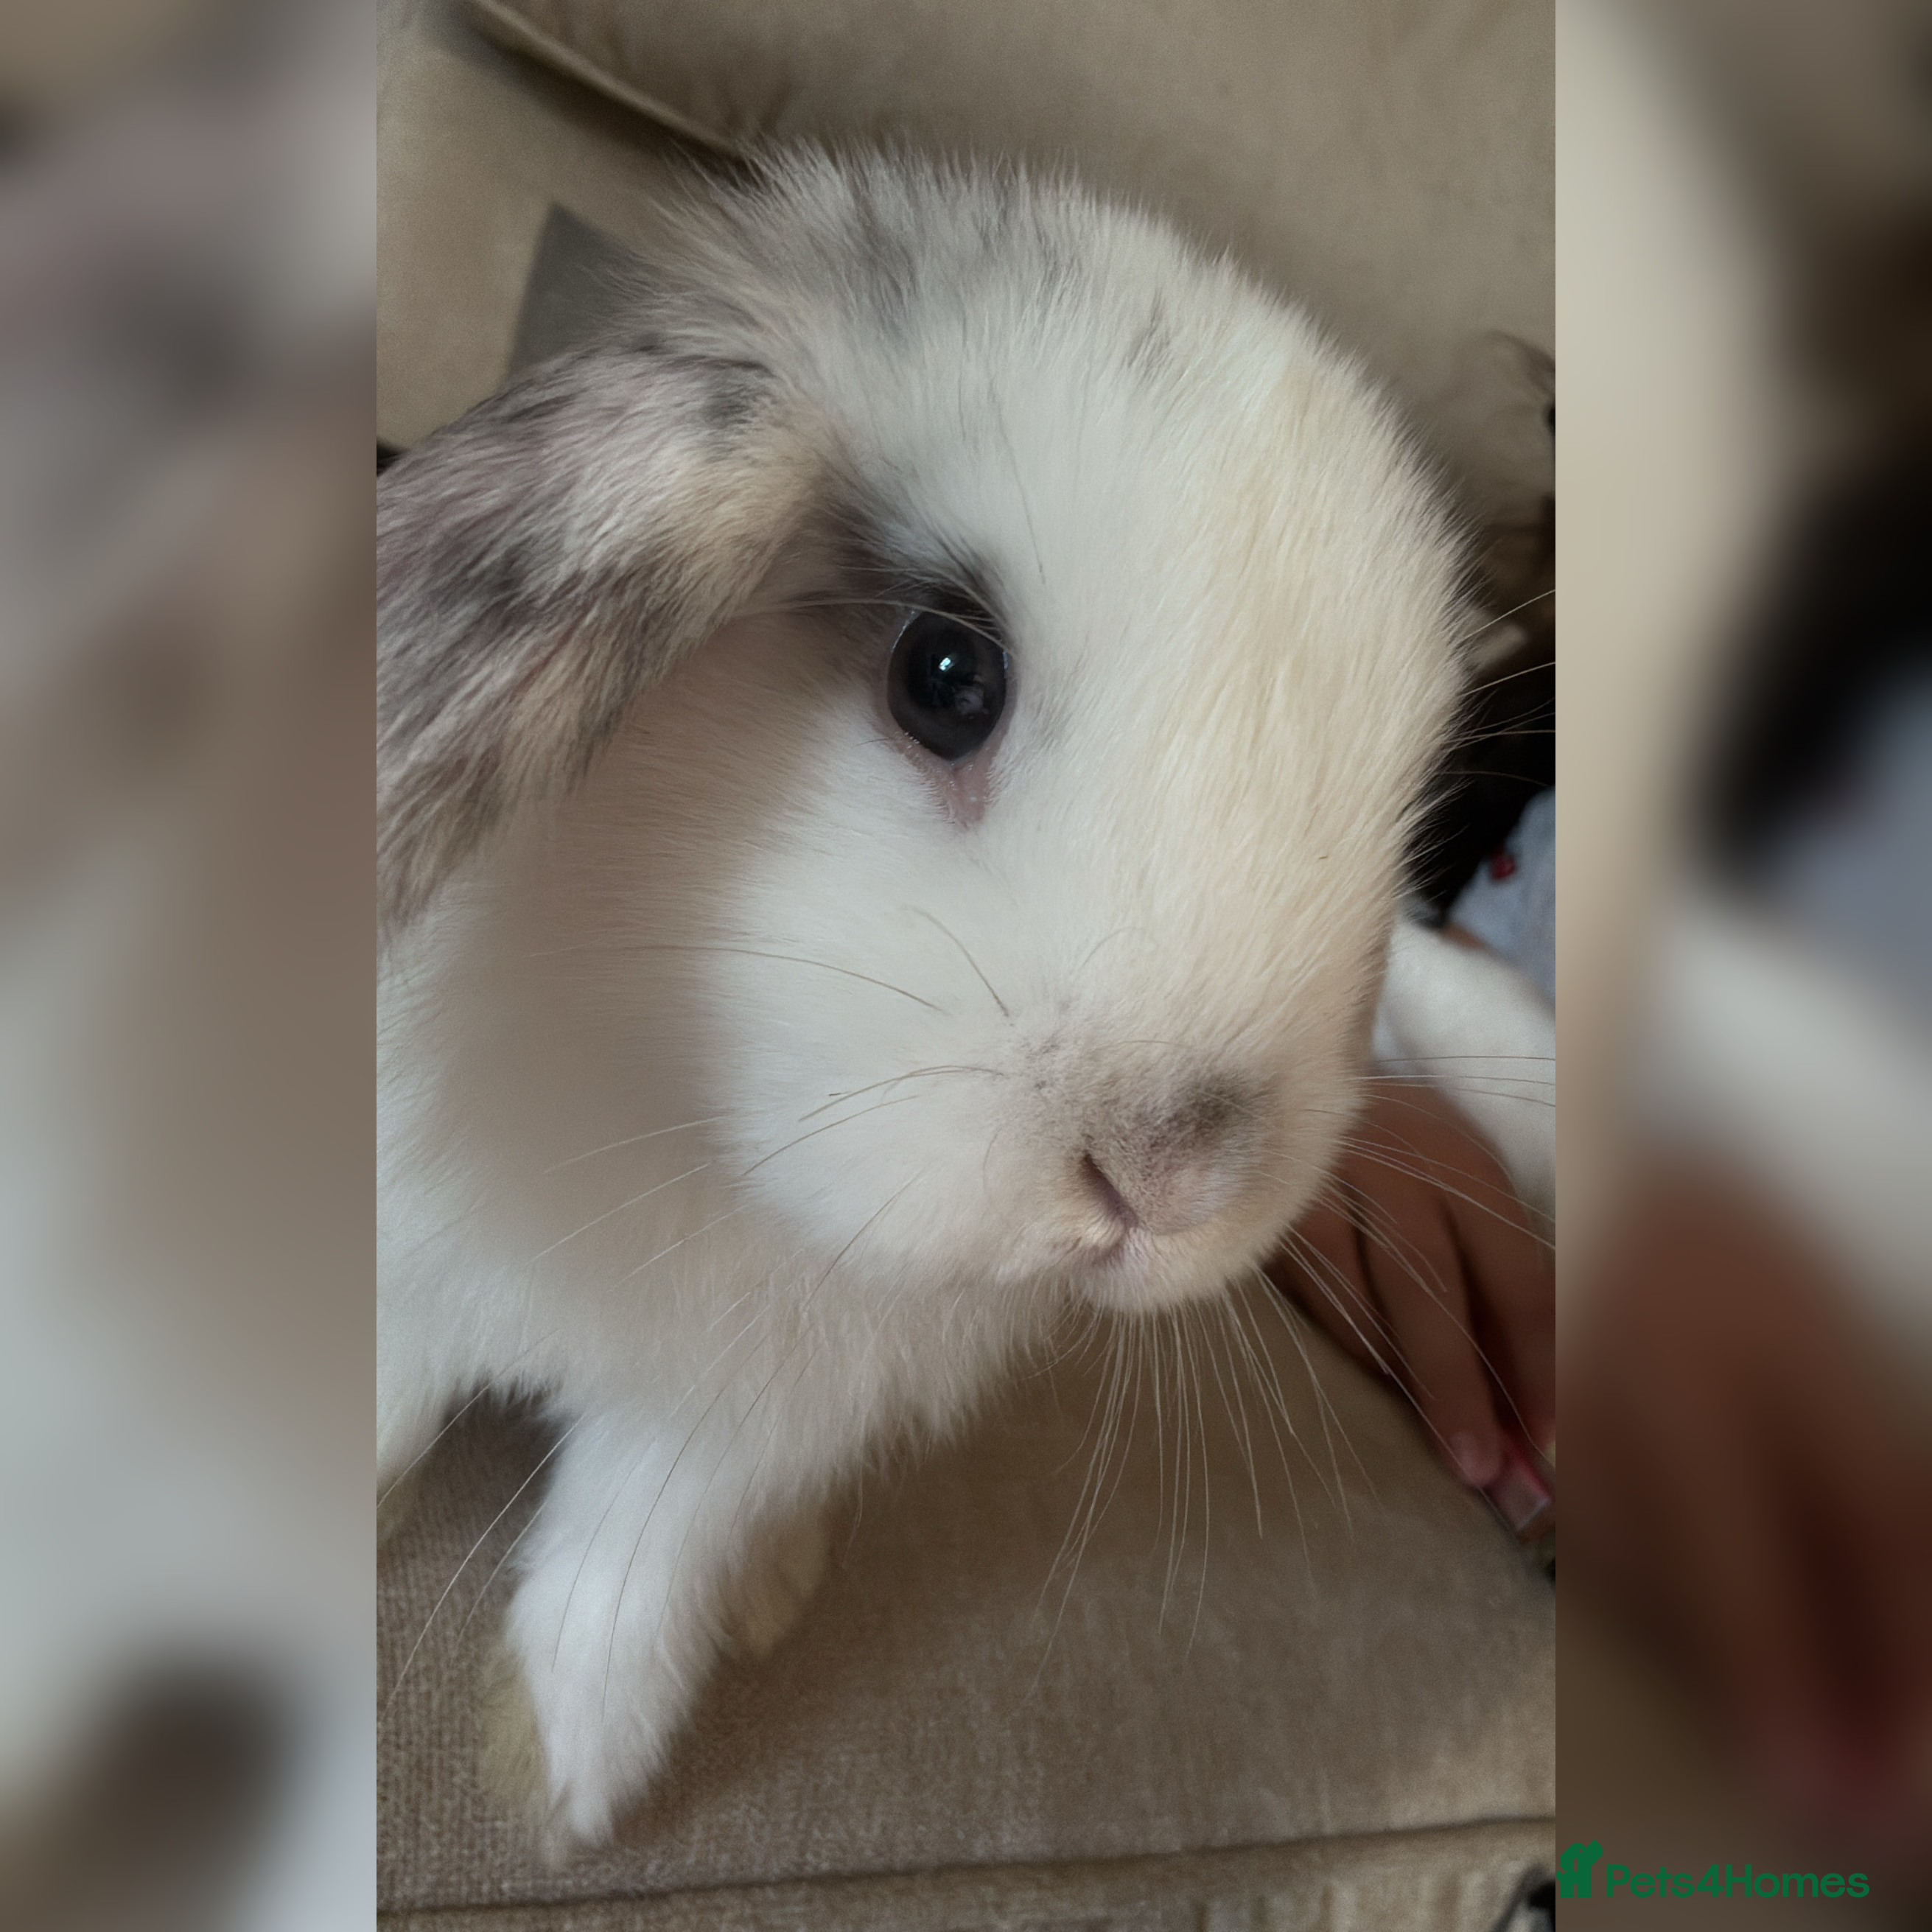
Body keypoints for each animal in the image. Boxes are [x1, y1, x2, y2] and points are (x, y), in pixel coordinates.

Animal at [377, 150, 1542, 1854]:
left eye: (1403, 828)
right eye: (942, 674)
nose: (1167, 1180)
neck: (686, 1125)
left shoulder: (734, 1427)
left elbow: (635, 1569)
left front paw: (575, 1776)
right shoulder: (420, 1256)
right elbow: (382, 1396)